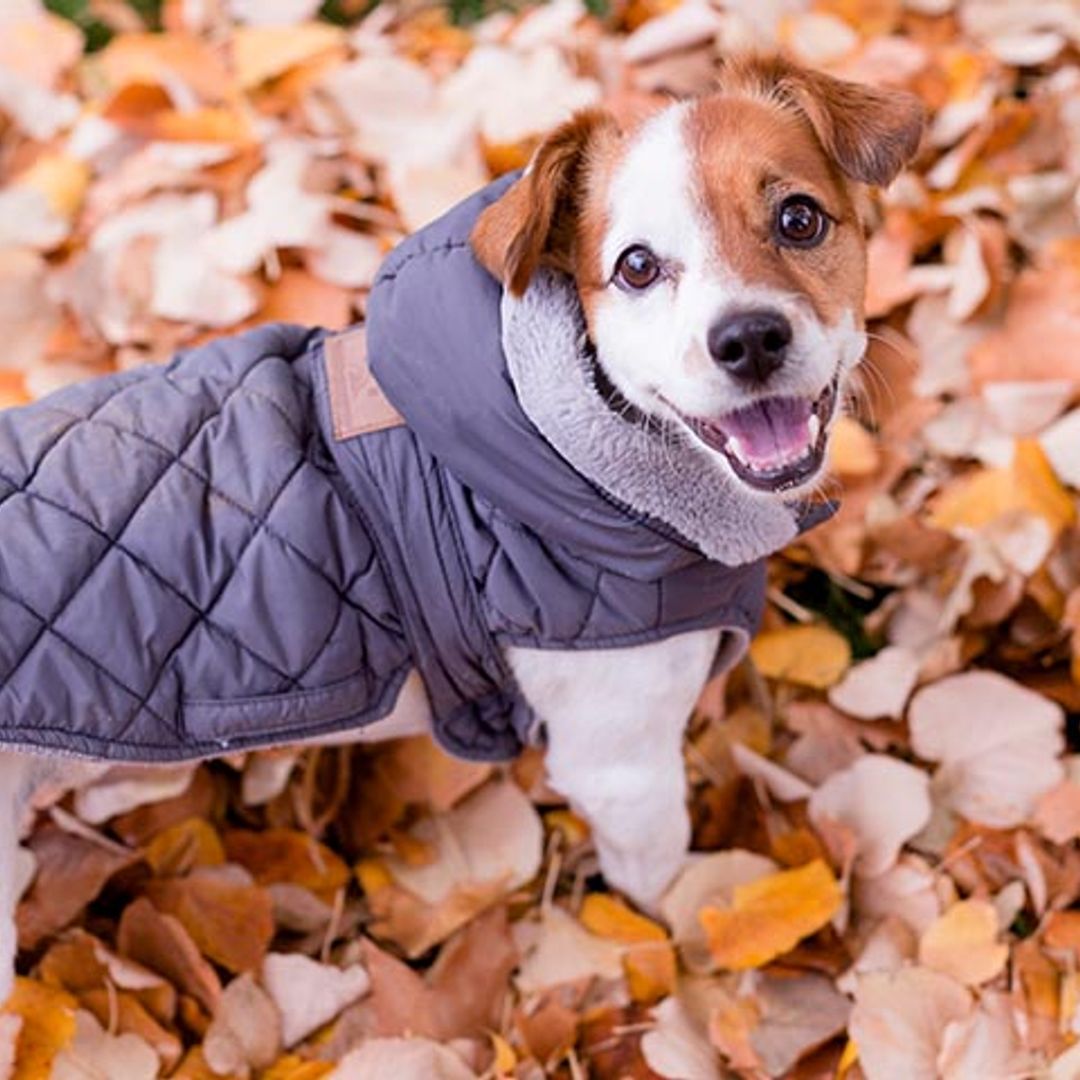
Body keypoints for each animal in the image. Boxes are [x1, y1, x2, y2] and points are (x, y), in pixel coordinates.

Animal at [0, 54, 924, 997]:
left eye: (799, 218)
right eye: (635, 267)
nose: (748, 339)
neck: (557, 446)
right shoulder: (621, 769)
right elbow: (662, 889)